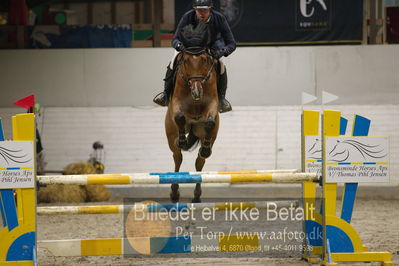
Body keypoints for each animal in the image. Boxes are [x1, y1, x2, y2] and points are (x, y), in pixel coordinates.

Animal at [166, 47, 222, 204]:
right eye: (185, 61)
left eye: (204, 61)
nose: (197, 92)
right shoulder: (176, 102)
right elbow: (179, 117)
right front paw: (182, 141)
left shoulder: (212, 103)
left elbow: (210, 121)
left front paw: (205, 149)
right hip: (171, 133)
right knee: (177, 157)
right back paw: (174, 192)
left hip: (202, 134)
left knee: (200, 162)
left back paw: (196, 195)